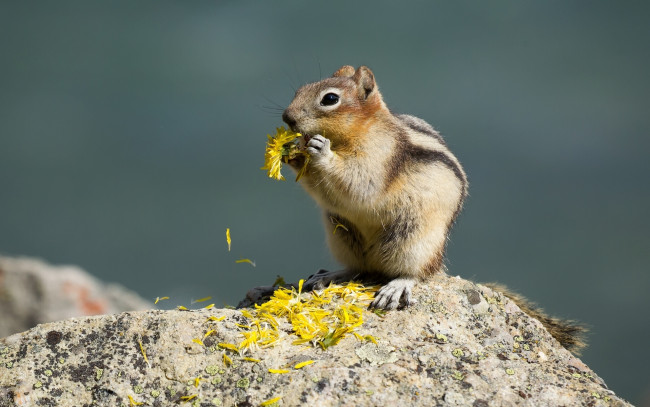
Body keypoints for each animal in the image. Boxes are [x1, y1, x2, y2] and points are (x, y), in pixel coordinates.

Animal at [280, 65, 584, 352]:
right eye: (301, 89)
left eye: (330, 99)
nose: (287, 118)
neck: (356, 133)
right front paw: (292, 154)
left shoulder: (378, 158)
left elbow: (359, 183)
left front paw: (320, 150)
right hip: (343, 237)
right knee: (357, 268)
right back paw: (329, 275)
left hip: (413, 239)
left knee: (415, 273)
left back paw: (397, 287)